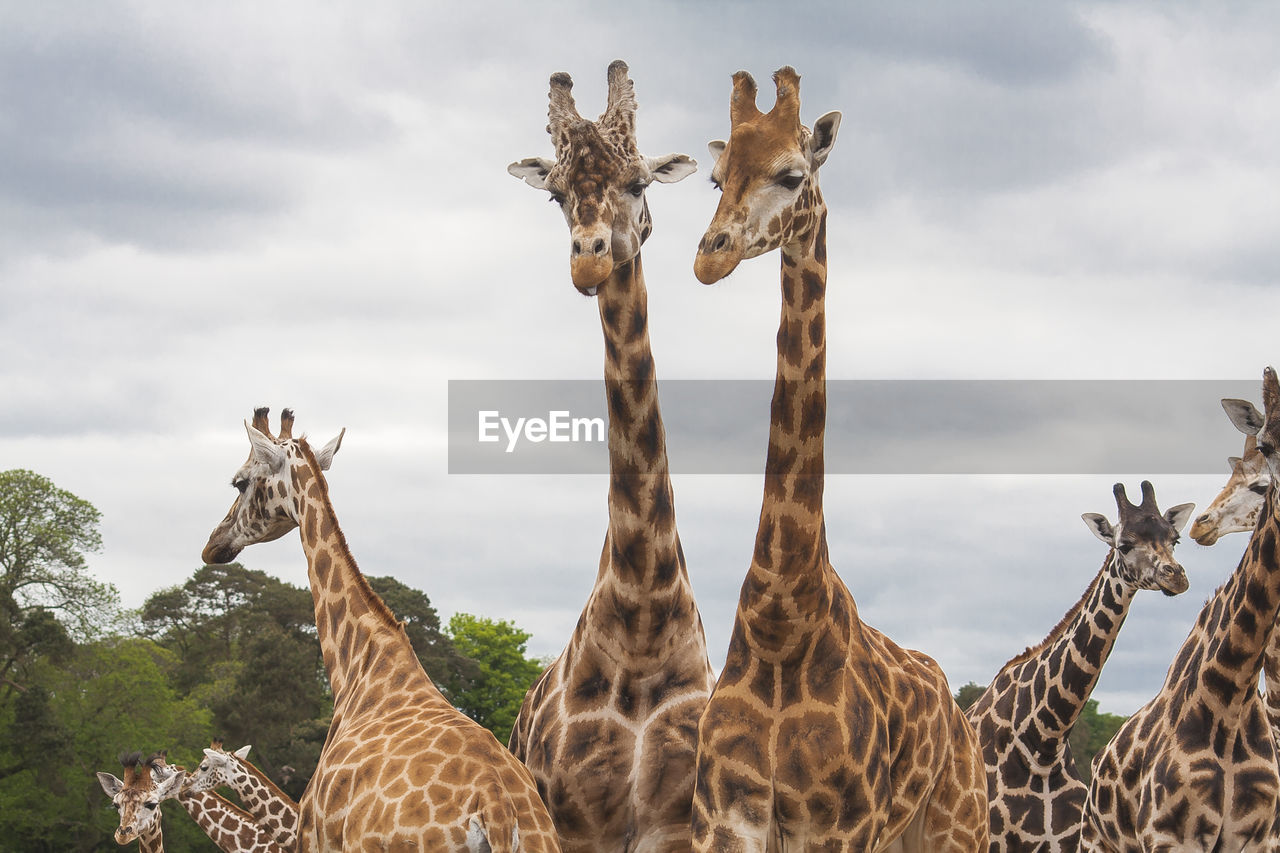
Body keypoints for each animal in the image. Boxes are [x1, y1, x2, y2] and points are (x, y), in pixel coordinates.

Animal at [504, 58, 716, 845]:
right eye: (558, 194)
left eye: (638, 182)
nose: (589, 262)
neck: (644, 615)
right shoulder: (576, 821)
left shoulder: (675, 820)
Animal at [691, 64, 988, 850]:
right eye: (715, 176)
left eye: (792, 174)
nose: (710, 255)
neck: (780, 615)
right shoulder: (722, 817)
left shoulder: (839, 826)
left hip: (958, 824)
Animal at [1075, 366, 1280, 850]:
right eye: (1266, 446)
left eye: (1175, 538)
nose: (1203, 524)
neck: (1232, 696)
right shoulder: (1169, 835)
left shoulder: (1259, 836)